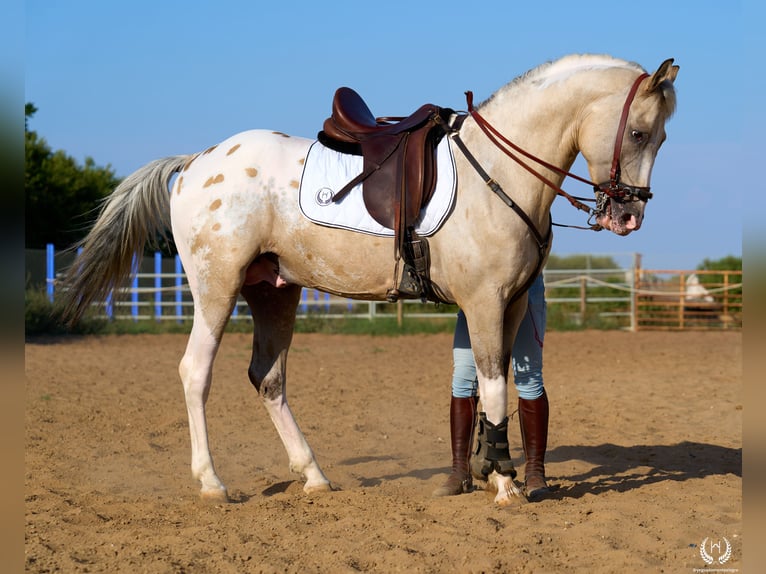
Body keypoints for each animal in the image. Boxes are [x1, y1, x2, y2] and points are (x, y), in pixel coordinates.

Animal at [59, 54, 678, 507]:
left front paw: (490, 470)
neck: (498, 173)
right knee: (196, 373)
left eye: (661, 139)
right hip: (217, 289)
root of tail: (196, 162)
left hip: (273, 292)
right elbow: (493, 384)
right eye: (639, 133)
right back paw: (213, 484)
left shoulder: (513, 305)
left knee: (269, 378)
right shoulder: (483, 303)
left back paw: (313, 476)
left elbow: (495, 385)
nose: (629, 216)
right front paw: (503, 484)